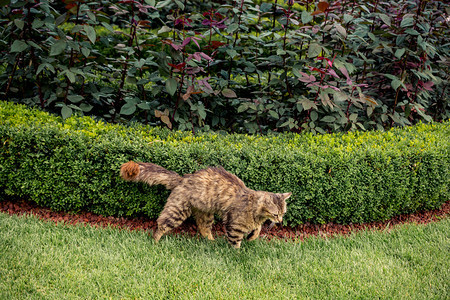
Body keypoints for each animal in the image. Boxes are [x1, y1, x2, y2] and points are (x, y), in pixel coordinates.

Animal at [119, 162, 290, 248]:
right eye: (276, 214)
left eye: (283, 213)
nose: (280, 221)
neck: (255, 209)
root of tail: (183, 178)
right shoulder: (234, 226)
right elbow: (235, 243)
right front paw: (237, 255)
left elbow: (257, 229)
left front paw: (252, 237)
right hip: (177, 211)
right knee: (161, 225)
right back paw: (155, 242)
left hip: (205, 214)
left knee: (203, 228)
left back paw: (211, 242)